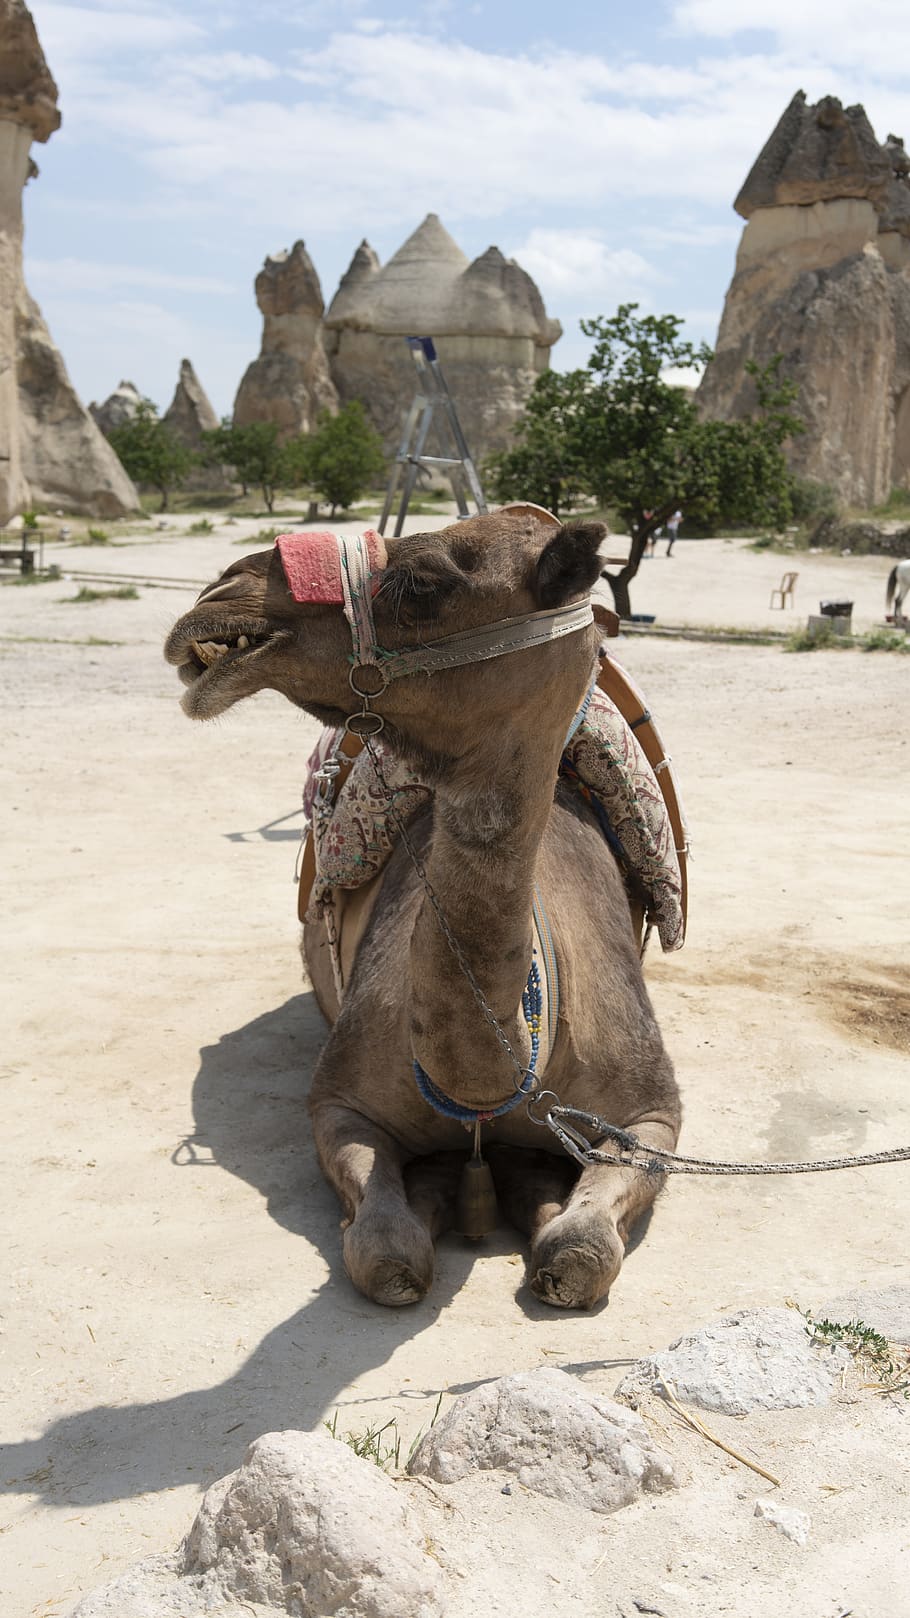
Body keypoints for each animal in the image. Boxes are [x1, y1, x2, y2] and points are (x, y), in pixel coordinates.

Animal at [164, 511, 681, 1310]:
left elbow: (582, 1252)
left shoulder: (652, 1113)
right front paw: (446, 1192)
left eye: (424, 580)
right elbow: (387, 1255)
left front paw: (537, 1209)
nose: (222, 593)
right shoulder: (339, 1103)